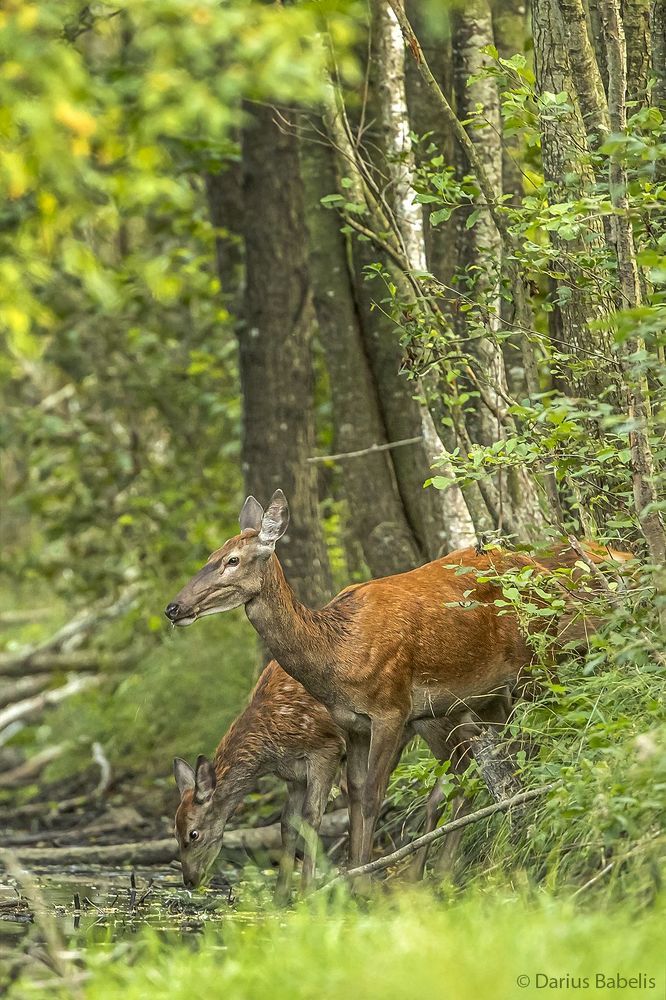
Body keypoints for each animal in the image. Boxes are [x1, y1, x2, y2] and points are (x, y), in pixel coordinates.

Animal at [166, 490, 552, 870]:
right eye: (210, 555)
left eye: (232, 560)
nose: (173, 607)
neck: (337, 655)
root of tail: (542, 567)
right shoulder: (351, 725)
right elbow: (350, 799)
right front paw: (352, 873)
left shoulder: (389, 711)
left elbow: (369, 798)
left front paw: (360, 878)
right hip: (482, 700)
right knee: (493, 762)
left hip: (534, 665)